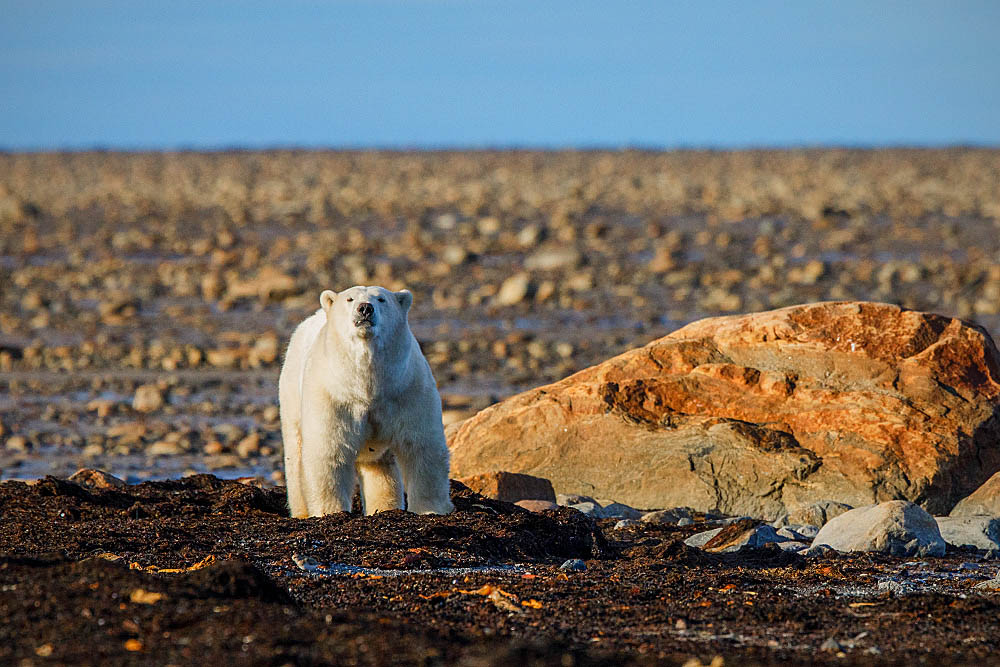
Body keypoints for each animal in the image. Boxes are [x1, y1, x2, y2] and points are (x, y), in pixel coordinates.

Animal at [280, 286, 456, 516]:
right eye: (349, 299)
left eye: (381, 299)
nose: (365, 308)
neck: (367, 386)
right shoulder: (333, 396)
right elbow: (328, 451)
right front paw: (330, 512)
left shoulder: (407, 389)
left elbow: (422, 446)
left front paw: (430, 510)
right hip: (291, 393)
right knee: (295, 456)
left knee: (379, 465)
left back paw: (384, 507)